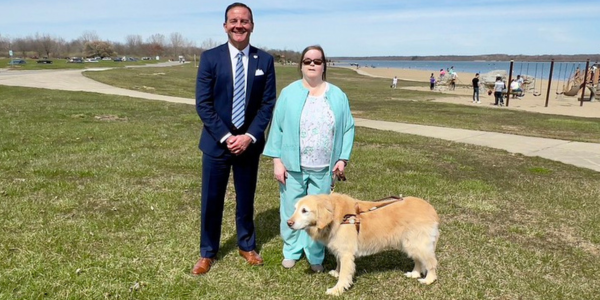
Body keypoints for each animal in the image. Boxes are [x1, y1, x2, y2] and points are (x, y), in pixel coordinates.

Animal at [288, 193, 438, 296]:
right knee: (418, 260)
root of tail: (431, 209)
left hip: (417, 243)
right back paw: (415, 273)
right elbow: (338, 263)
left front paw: (337, 289)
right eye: (295, 209)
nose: (288, 223)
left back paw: (428, 279)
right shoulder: (340, 249)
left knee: (431, 263)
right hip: (410, 244)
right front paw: (336, 272)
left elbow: (344, 273)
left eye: (304, 210)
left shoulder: (347, 253)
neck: (337, 217)